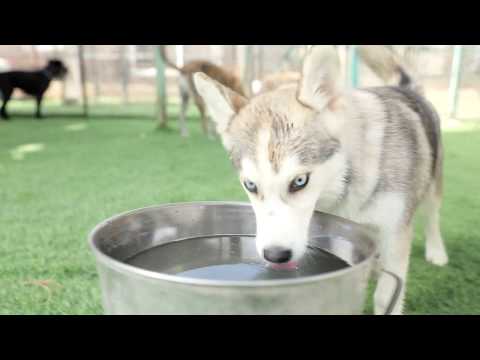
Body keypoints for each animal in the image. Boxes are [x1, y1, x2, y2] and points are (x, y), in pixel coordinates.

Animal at [193, 46, 448, 314]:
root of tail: (404, 88)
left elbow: (385, 295)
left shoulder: (395, 233)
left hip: (434, 183)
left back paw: (436, 252)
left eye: (299, 181)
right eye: (250, 185)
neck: (347, 182)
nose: (275, 255)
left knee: (432, 216)